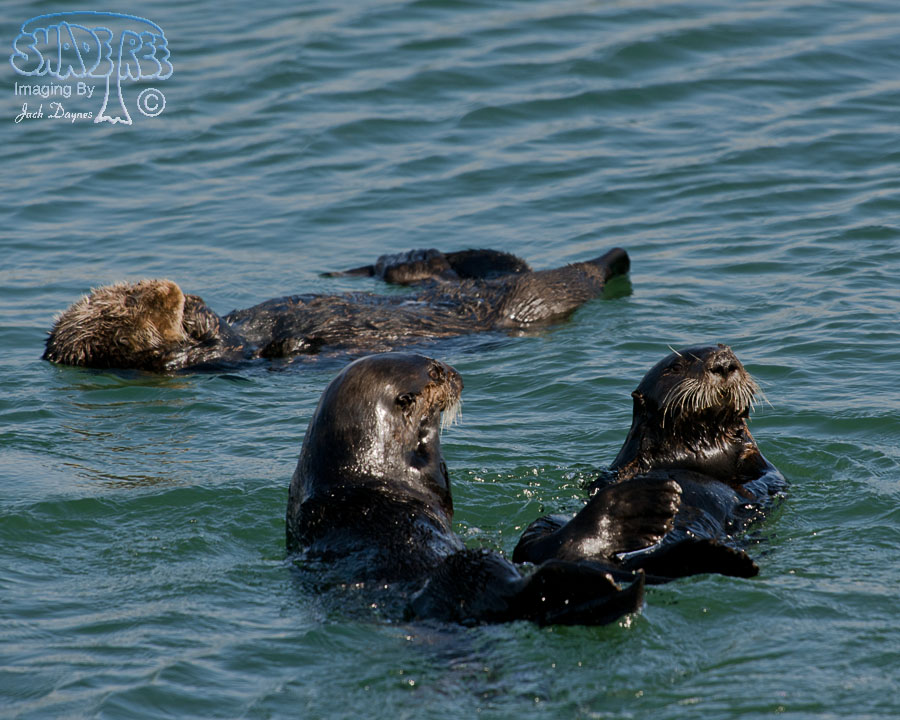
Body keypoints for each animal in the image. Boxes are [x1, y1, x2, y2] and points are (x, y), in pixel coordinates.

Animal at [513, 344, 786, 581]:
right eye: (675, 367)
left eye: (732, 353)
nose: (724, 363)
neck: (705, 452)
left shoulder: (761, 466)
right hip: (549, 523)